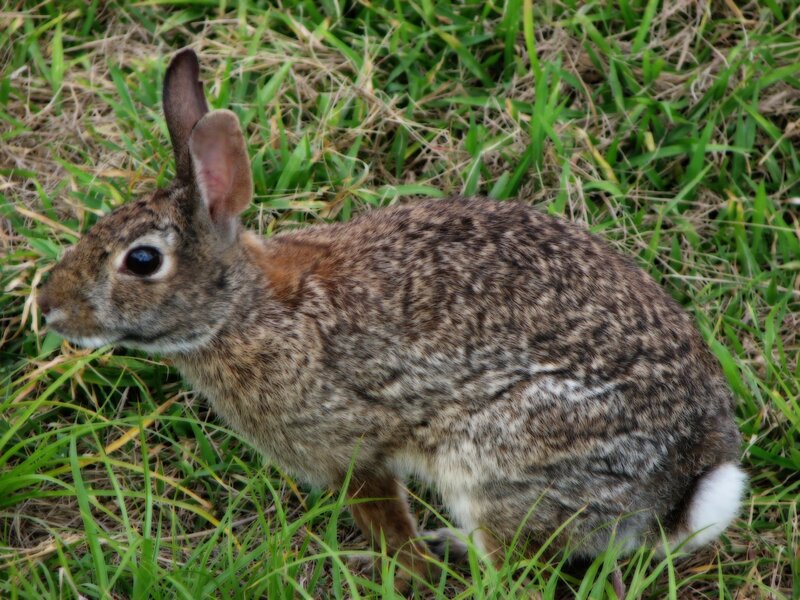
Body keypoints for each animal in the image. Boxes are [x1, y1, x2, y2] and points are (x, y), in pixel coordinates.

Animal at [38, 48, 746, 589]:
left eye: (142, 260)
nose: (48, 308)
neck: (246, 311)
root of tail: (683, 486)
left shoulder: (352, 447)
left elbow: (383, 518)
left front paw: (399, 570)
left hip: (500, 460)